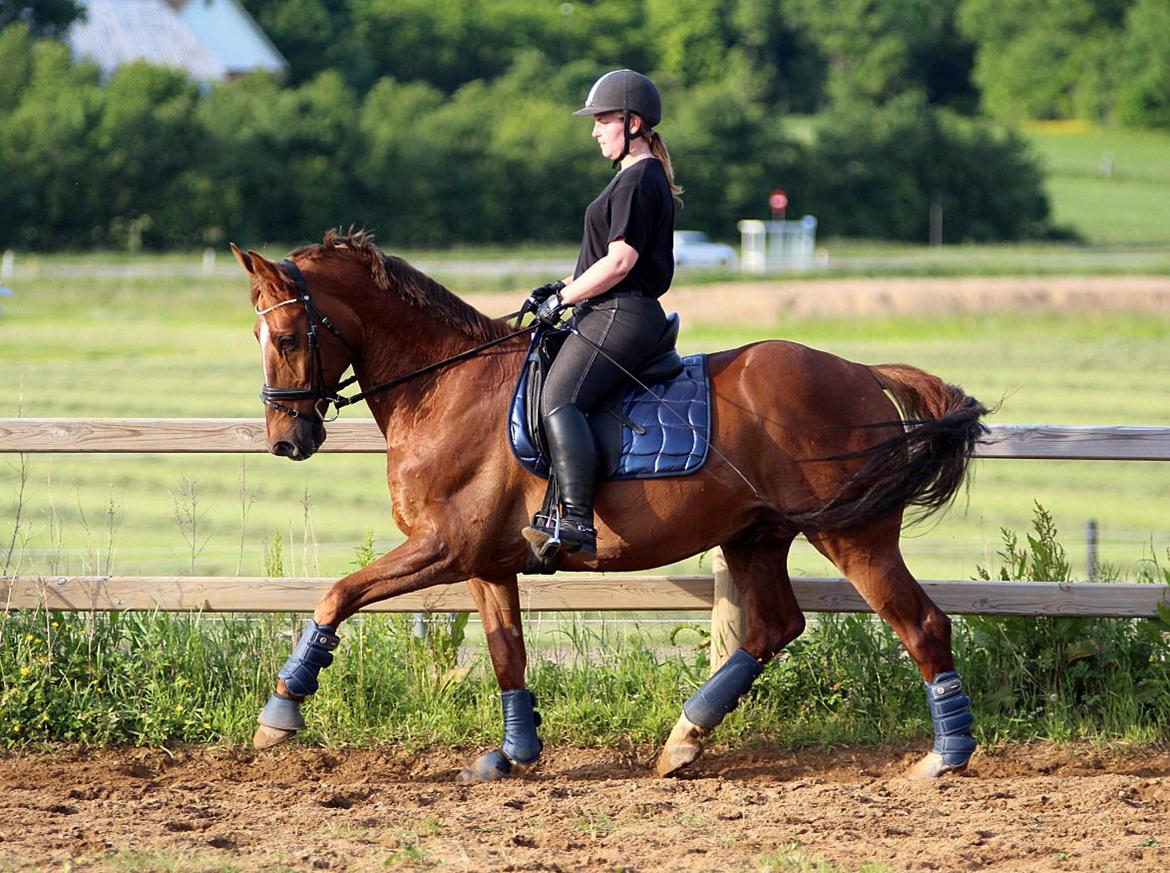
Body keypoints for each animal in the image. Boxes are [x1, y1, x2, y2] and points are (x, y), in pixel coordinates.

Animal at [235, 229, 987, 777]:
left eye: (289, 337)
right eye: (258, 337)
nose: (286, 440)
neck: (446, 385)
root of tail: (861, 372)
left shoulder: (444, 547)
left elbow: (337, 594)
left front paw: (282, 712)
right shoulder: (486, 562)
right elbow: (507, 652)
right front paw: (514, 753)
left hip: (854, 536)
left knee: (922, 624)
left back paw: (945, 757)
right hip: (756, 534)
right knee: (774, 627)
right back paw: (684, 738)